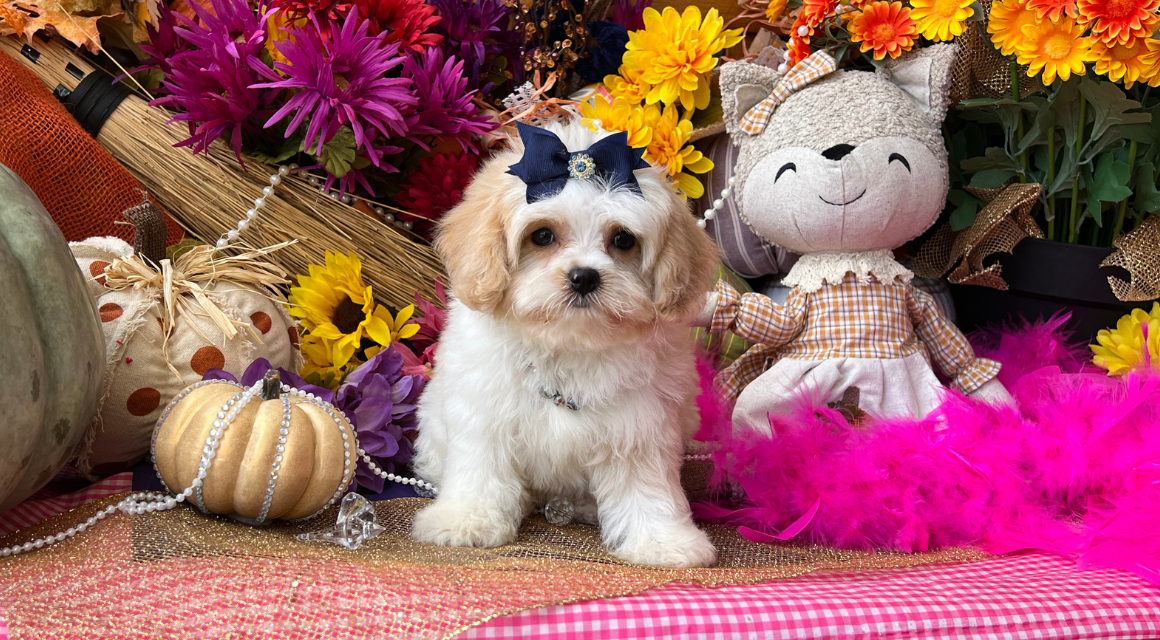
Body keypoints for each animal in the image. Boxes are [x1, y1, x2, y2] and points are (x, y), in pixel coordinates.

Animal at [408, 122, 714, 568]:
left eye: (623, 240)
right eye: (542, 235)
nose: (584, 276)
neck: (569, 344)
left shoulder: (641, 427)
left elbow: (645, 487)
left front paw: (663, 541)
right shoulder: (484, 412)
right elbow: (481, 467)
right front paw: (467, 519)